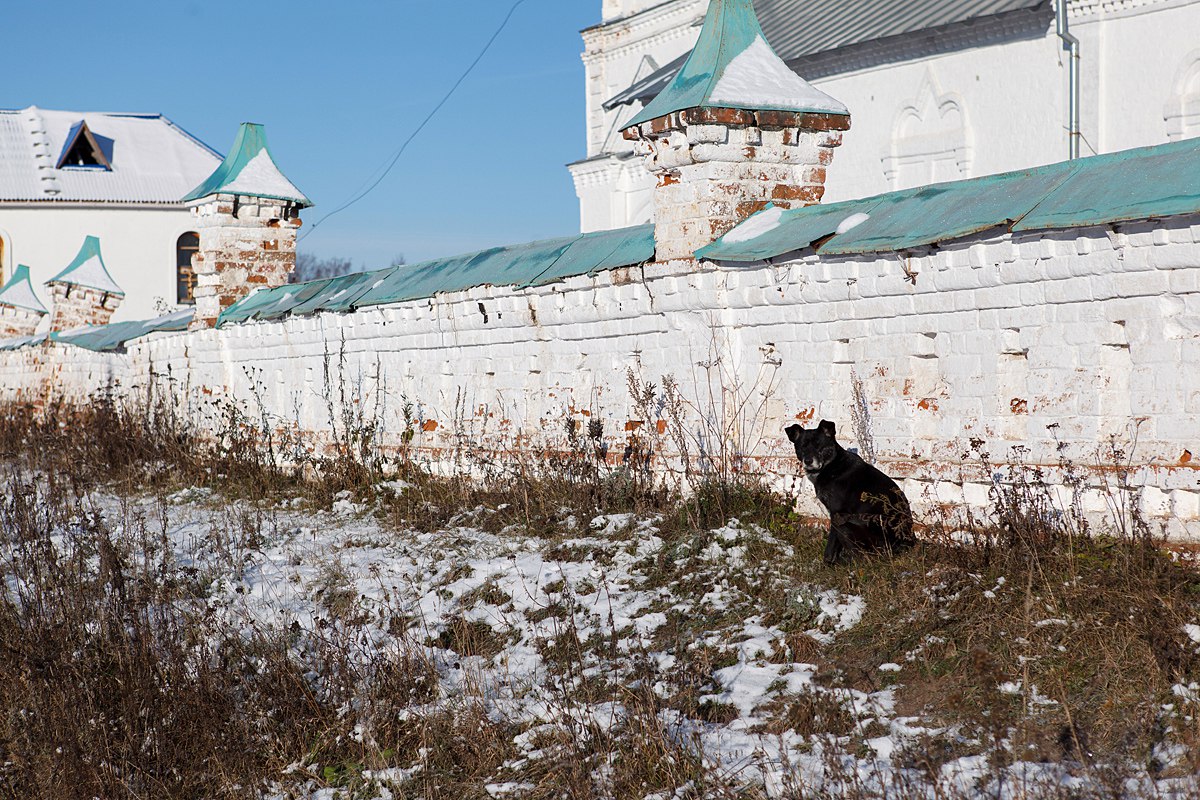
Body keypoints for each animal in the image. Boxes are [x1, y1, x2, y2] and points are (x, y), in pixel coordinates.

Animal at [782, 422, 912, 566]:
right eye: (802, 447)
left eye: (819, 446)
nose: (808, 461)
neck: (833, 465)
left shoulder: (837, 515)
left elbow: (830, 547)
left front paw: (826, 565)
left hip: (848, 526)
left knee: (863, 558)